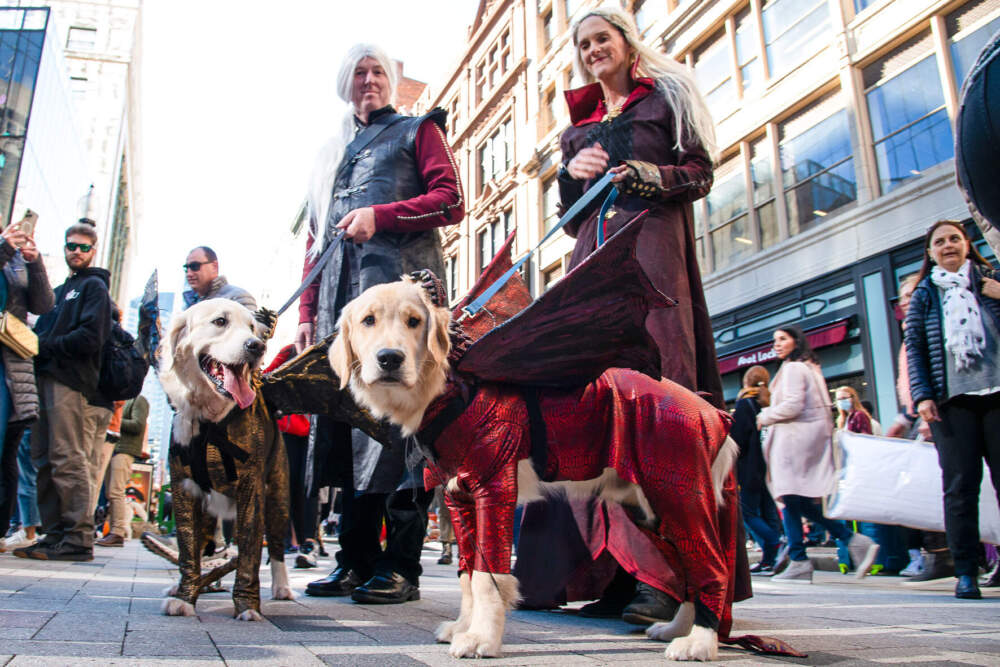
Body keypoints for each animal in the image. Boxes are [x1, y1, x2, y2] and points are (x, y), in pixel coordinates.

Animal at [158, 298, 292, 620]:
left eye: (253, 328)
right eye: (220, 322)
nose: (257, 346)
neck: (210, 421)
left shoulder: (251, 490)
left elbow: (249, 553)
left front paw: (247, 606)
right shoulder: (183, 488)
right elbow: (188, 550)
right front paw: (184, 596)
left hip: (278, 498)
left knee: (276, 547)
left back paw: (281, 587)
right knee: (206, 545)